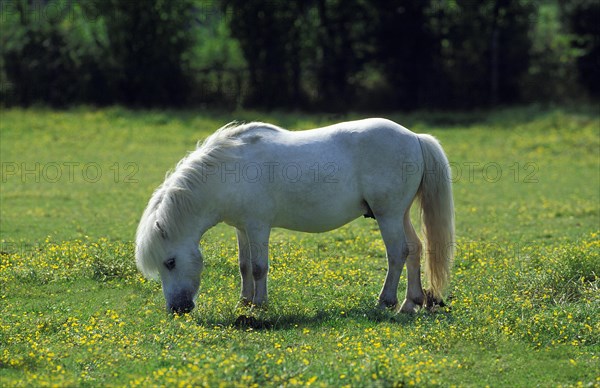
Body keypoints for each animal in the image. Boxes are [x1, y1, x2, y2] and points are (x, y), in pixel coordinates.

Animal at [136, 119, 454, 316]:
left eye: (170, 262)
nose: (178, 309)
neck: (230, 169)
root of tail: (415, 137)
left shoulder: (258, 226)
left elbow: (259, 267)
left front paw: (259, 305)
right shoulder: (242, 228)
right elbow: (243, 266)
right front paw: (243, 302)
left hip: (388, 216)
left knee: (397, 253)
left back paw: (385, 302)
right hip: (399, 214)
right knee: (414, 249)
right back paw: (411, 303)